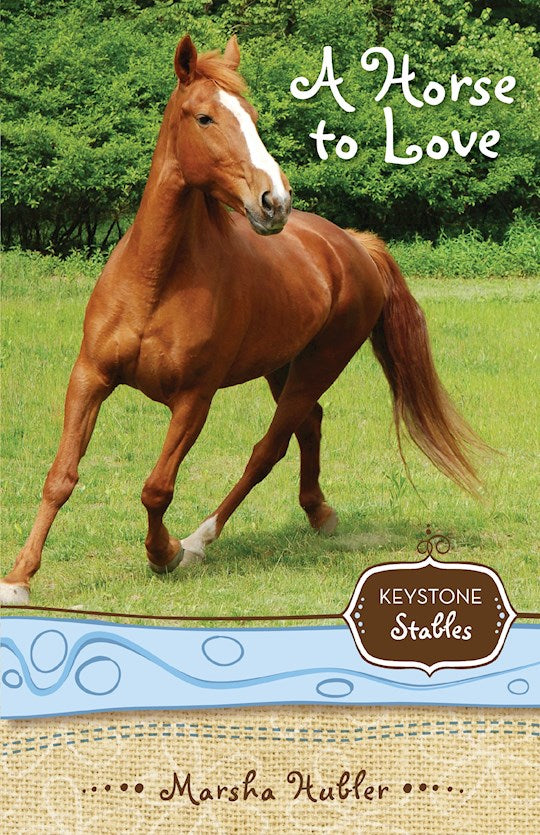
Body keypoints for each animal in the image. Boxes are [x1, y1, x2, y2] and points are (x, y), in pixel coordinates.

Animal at [0, 35, 485, 605]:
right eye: (204, 117)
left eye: (252, 117)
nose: (274, 202)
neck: (156, 281)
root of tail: (352, 245)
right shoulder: (90, 377)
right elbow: (61, 476)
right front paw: (19, 577)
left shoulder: (194, 399)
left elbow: (157, 487)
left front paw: (164, 553)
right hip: (283, 367)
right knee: (309, 425)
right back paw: (318, 513)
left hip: (319, 364)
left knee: (268, 449)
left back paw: (201, 540)